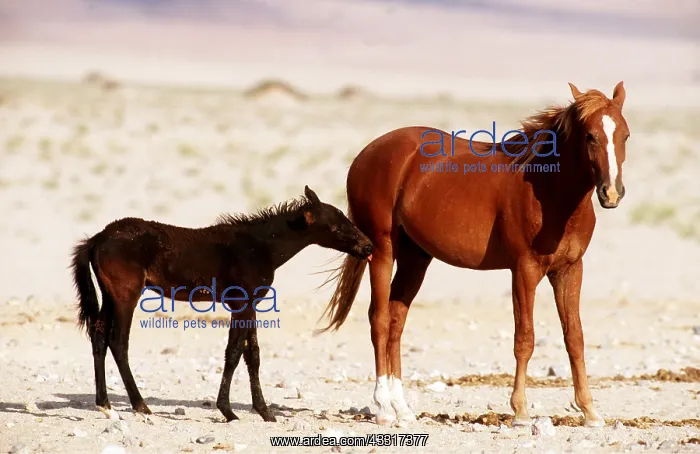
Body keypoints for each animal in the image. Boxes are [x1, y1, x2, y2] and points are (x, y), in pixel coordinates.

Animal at [71, 186, 373, 422]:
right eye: (336, 226)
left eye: (345, 218)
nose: (368, 247)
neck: (260, 248)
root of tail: (97, 238)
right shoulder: (241, 304)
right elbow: (235, 352)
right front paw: (227, 410)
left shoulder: (251, 305)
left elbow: (253, 355)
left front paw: (265, 412)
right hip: (126, 296)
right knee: (118, 342)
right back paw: (139, 404)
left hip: (109, 295)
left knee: (98, 336)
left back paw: (105, 404)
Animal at [318, 82, 630, 428]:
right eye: (590, 136)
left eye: (625, 136)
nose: (611, 193)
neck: (548, 190)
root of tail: (367, 154)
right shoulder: (524, 270)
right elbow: (525, 338)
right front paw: (521, 411)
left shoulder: (570, 270)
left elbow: (575, 338)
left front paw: (590, 411)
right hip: (383, 251)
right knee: (380, 319)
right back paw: (384, 407)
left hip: (416, 258)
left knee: (396, 320)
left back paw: (403, 409)